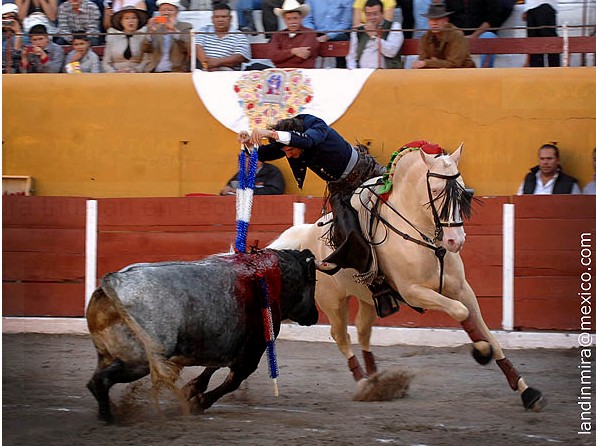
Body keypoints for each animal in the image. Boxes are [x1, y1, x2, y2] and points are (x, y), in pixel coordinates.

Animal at [86, 248, 319, 423]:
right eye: (313, 283)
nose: (315, 316)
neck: (268, 278)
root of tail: (115, 280)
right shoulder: (251, 354)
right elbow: (231, 381)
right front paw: (197, 403)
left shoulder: (223, 345)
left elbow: (210, 370)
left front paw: (189, 391)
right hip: (139, 361)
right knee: (102, 381)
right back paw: (109, 419)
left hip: (108, 354)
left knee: (95, 380)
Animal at [268, 143, 546, 411]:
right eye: (437, 191)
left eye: (463, 192)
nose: (456, 241)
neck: (425, 236)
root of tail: (306, 234)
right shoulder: (414, 291)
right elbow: (461, 313)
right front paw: (481, 351)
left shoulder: (462, 289)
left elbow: (487, 332)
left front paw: (527, 392)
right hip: (332, 302)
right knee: (342, 337)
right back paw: (364, 383)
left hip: (370, 299)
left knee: (363, 331)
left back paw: (377, 382)